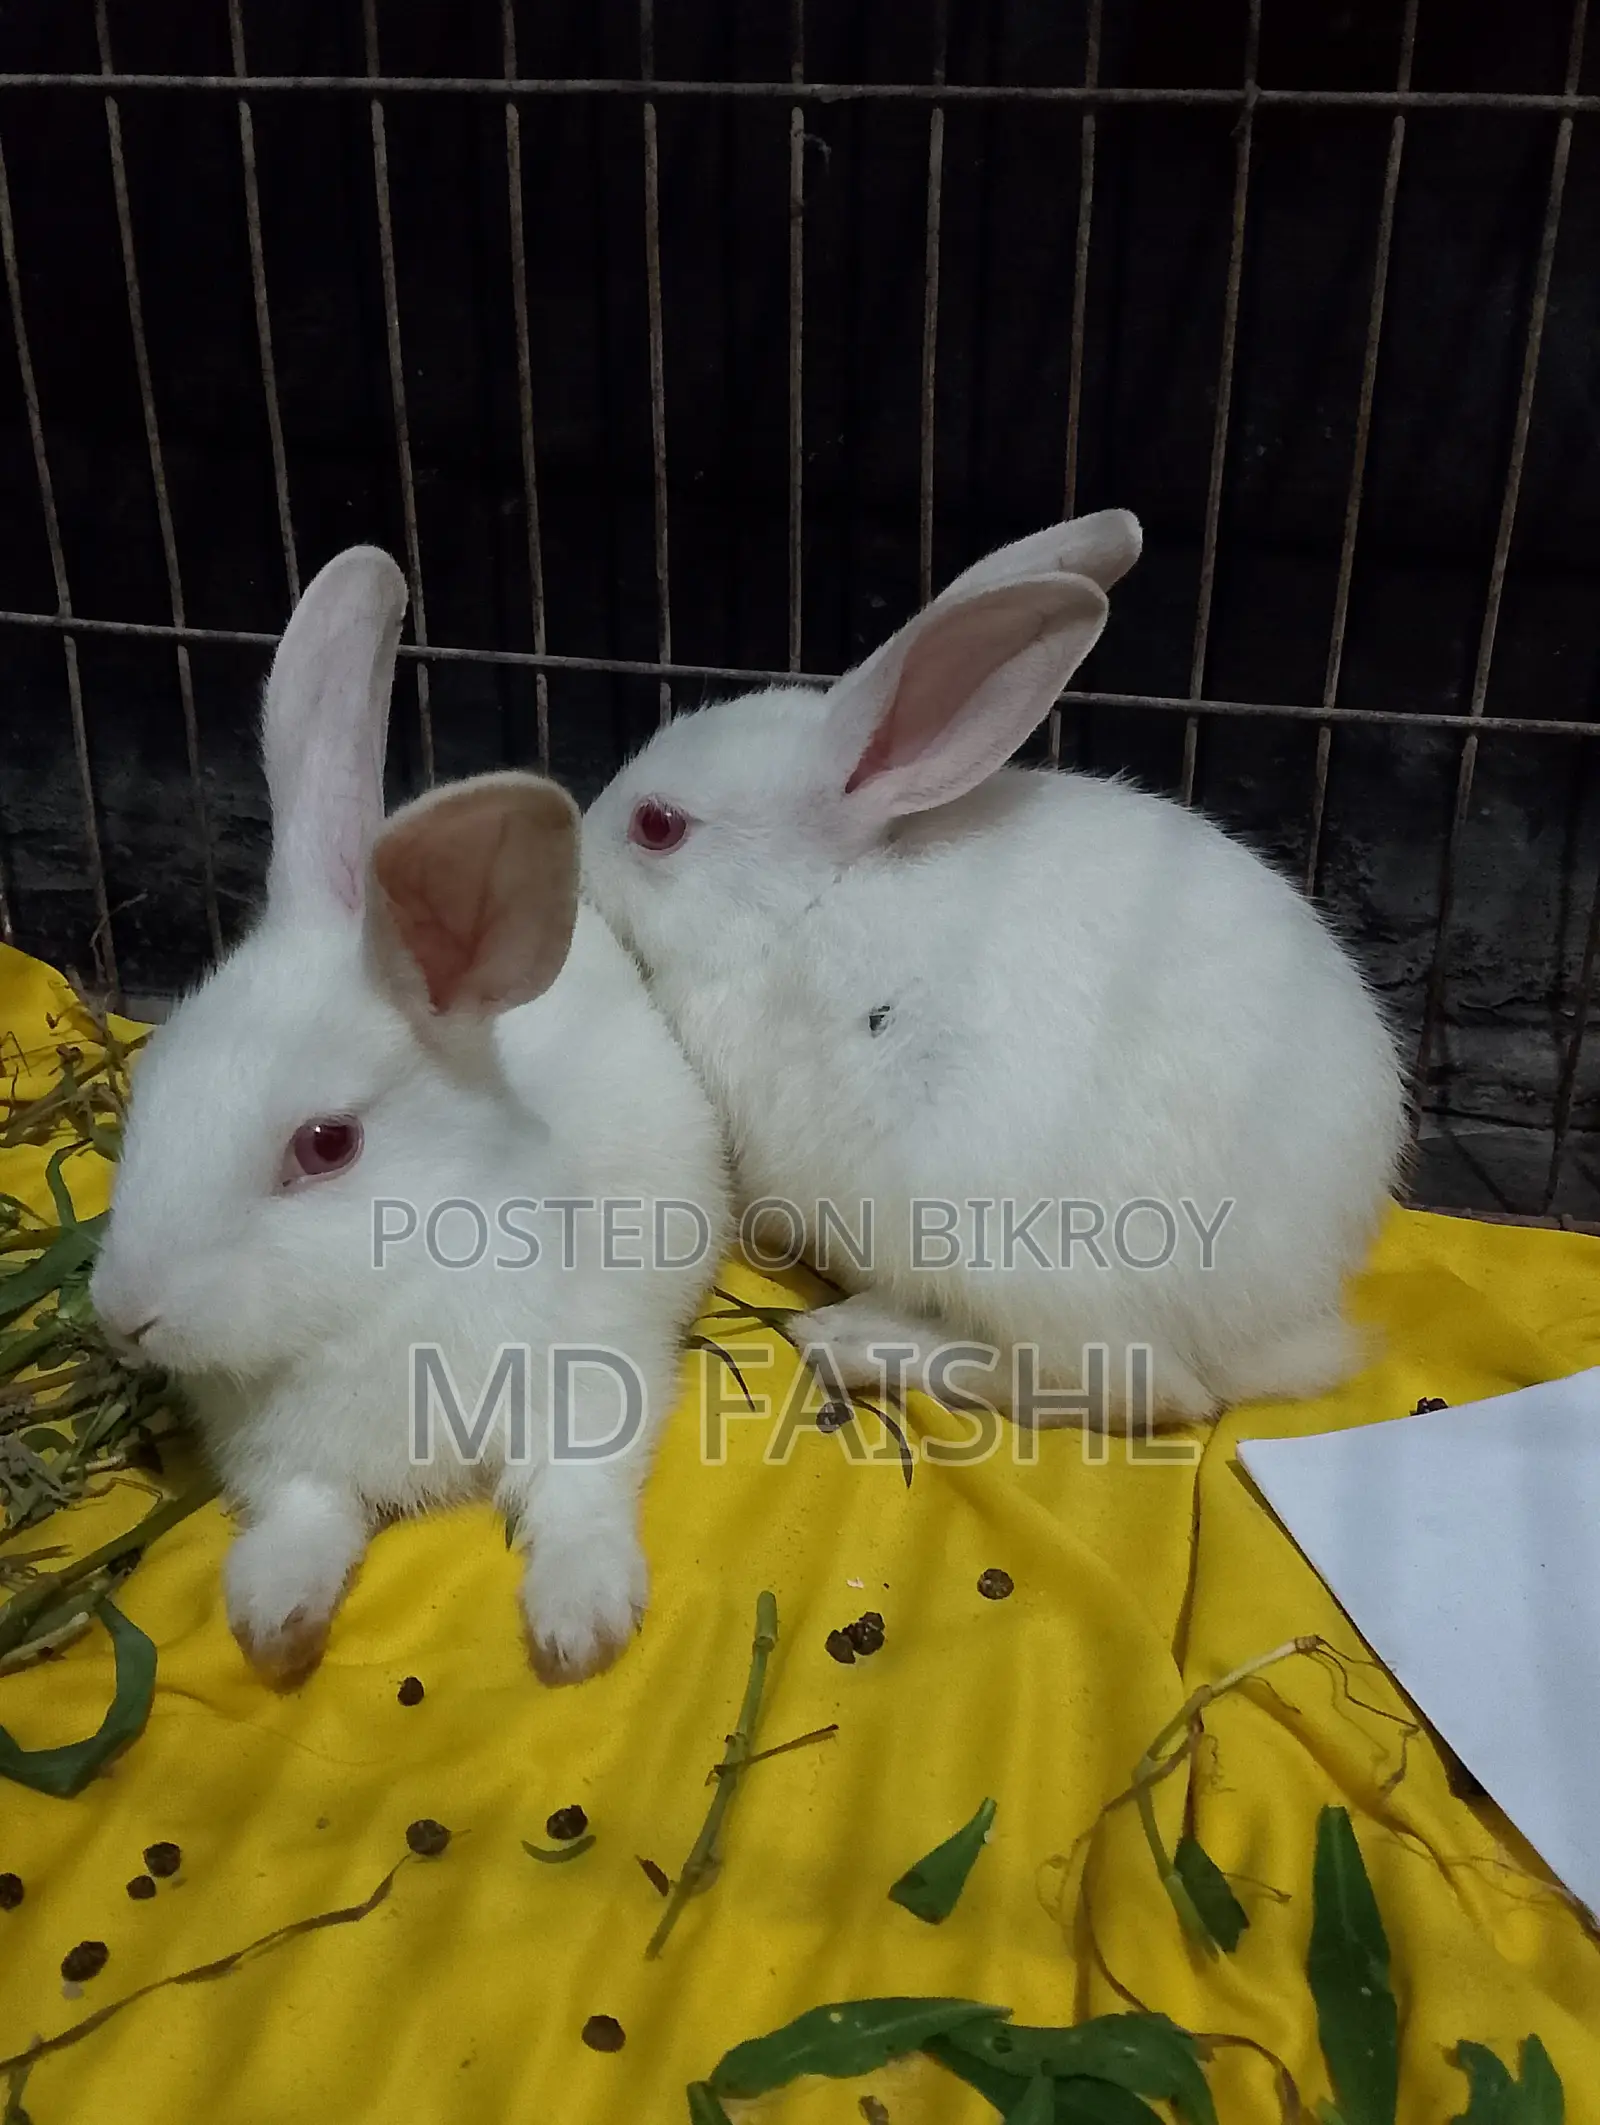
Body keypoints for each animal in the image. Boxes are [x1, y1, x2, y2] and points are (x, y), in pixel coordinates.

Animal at [89, 547, 730, 1688]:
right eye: (149, 1081)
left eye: (325, 1145)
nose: (125, 1315)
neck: (384, 1294)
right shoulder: (288, 1461)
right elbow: (304, 1519)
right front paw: (272, 1620)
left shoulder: (591, 1383)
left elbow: (578, 1498)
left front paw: (579, 1623)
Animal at [581, 510, 1406, 1430]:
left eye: (657, 826)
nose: (576, 851)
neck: (805, 903)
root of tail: (1276, 1316)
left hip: (991, 1234)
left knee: (1141, 1387)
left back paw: (855, 1338)